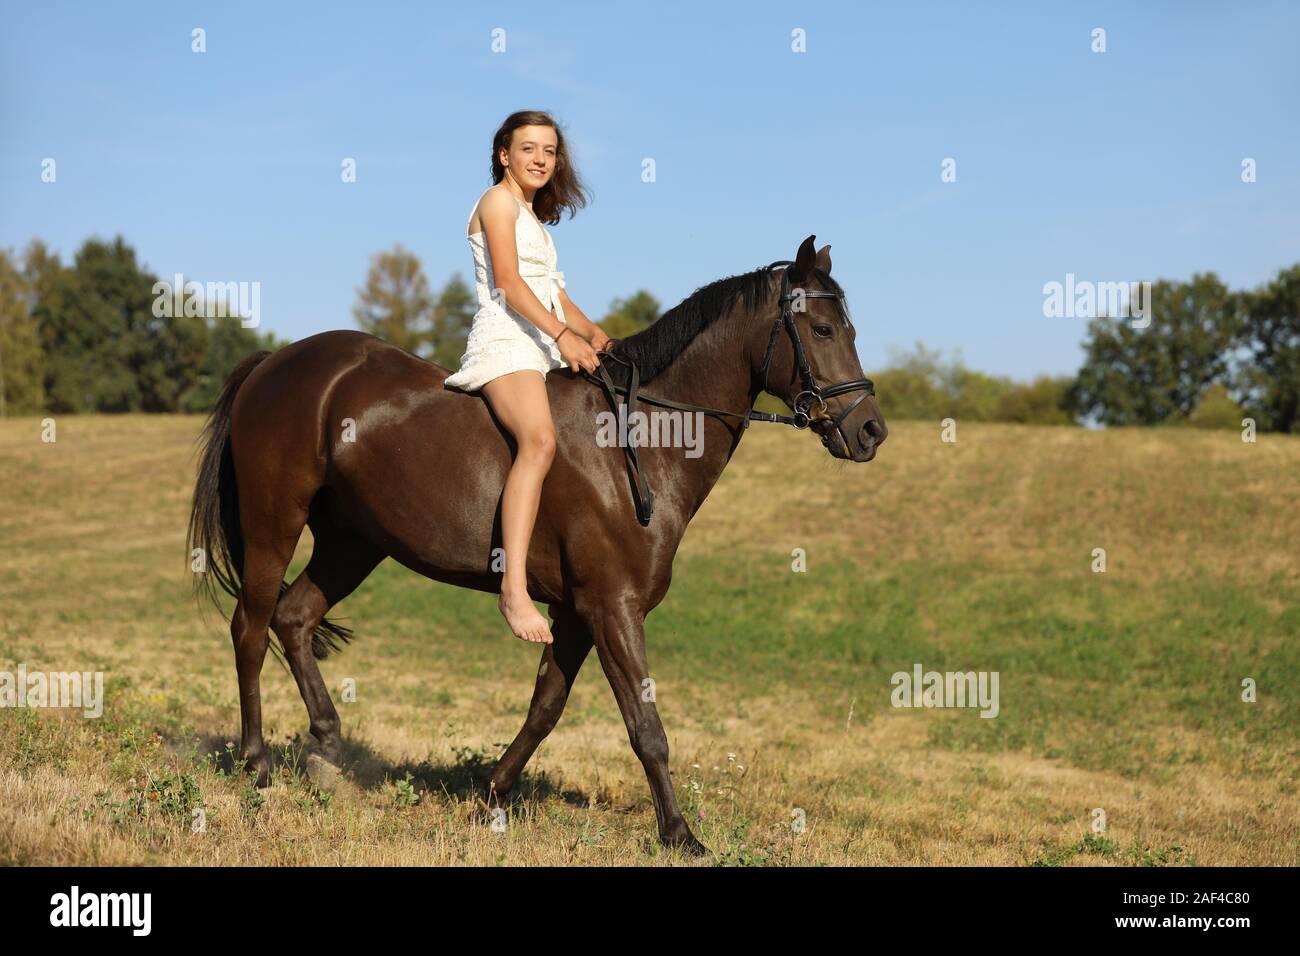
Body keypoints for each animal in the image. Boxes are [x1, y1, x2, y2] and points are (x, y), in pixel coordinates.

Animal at [188, 238, 889, 853]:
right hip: (275, 523)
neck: (637, 440)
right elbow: (646, 728)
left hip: (353, 543)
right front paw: (679, 834)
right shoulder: (611, 607)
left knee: (294, 617)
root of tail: (274, 362)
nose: (871, 431)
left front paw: (492, 796)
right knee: (250, 628)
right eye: (822, 330)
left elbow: (545, 709)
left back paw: (328, 751)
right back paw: (256, 765)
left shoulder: (575, 613)